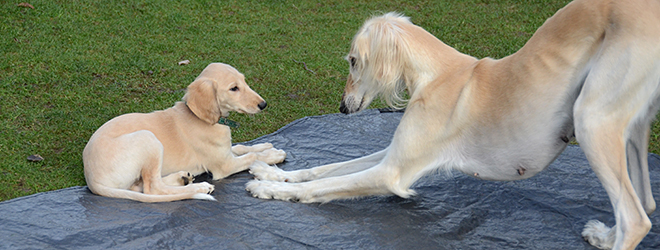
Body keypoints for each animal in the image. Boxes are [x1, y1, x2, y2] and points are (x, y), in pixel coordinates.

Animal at [84, 62, 284, 203]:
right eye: (234, 88)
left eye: (244, 82)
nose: (263, 104)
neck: (201, 117)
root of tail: (90, 177)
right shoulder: (225, 165)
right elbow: (251, 157)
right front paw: (273, 155)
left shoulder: (225, 151)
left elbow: (242, 147)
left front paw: (265, 145)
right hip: (148, 138)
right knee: (152, 188)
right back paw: (198, 188)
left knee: (140, 187)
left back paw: (182, 178)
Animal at [246, 0, 660, 248]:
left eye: (352, 60)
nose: (343, 108)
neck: (437, 73)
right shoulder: (393, 154)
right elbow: (326, 168)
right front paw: (271, 171)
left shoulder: (393, 173)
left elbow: (324, 186)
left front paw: (269, 189)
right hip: (629, 125)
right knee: (646, 202)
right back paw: (605, 236)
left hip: (591, 118)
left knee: (635, 217)